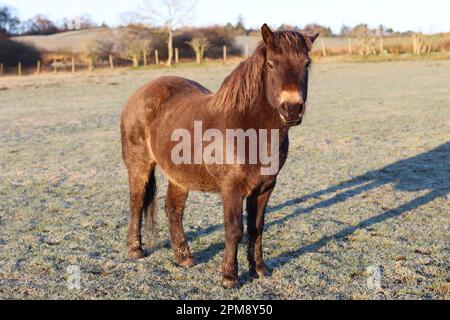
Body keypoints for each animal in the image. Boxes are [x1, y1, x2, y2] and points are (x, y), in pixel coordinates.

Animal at [119, 23, 316, 288]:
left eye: (306, 63)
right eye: (271, 64)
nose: (292, 109)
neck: (249, 128)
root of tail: (139, 94)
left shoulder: (265, 187)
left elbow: (257, 228)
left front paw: (259, 269)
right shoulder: (231, 188)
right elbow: (234, 229)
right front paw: (229, 276)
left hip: (179, 175)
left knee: (173, 209)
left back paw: (184, 257)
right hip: (139, 165)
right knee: (137, 202)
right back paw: (135, 250)